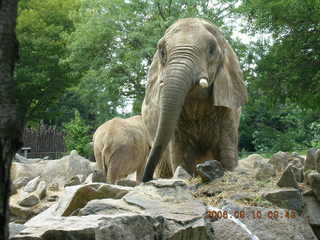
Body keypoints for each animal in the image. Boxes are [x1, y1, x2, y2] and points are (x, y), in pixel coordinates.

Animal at [141, 17, 249, 182]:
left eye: (211, 50)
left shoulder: (229, 111)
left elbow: (227, 152)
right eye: (162, 52)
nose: (147, 178)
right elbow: (181, 155)